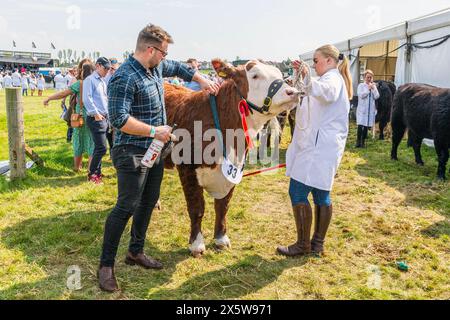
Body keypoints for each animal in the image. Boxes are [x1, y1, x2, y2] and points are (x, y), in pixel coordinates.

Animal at [163, 58, 300, 256]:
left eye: (280, 75)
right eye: (255, 76)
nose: (293, 92)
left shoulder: (234, 169)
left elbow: (223, 206)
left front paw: (221, 239)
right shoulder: (187, 169)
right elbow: (196, 208)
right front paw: (196, 244)